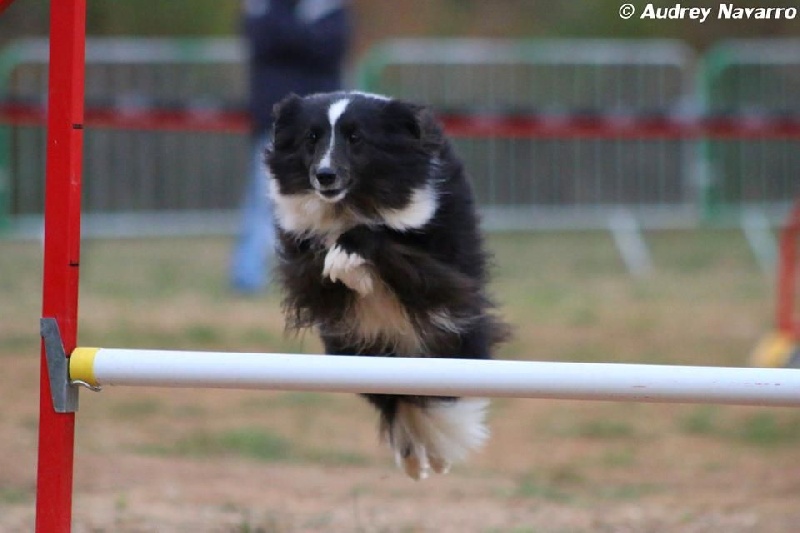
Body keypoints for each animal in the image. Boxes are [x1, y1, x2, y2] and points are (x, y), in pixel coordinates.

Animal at [266, 90, 510, 478]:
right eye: (311, 137)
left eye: (356, 138)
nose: (324, 175)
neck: (351, 202)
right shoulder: (303, 261)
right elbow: (321, 262)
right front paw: (345, 267)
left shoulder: (440, 261)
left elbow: (381, 237)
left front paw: (348, 259)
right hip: (354, 351)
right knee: (397, 394)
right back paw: (416, 454)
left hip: (455, 343)